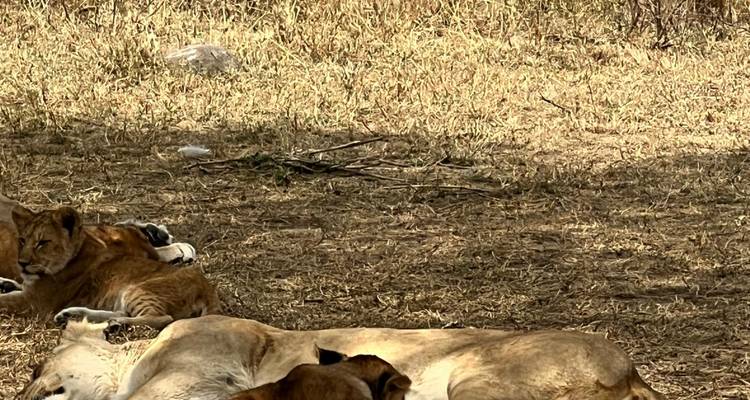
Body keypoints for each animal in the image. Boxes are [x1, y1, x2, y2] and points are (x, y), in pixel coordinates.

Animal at [0, 202, 219, 329]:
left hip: (139, 289)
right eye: (22, 240)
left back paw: (115, 324)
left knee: (161, 318)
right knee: (126, 312)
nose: (22, 263)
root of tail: (208, 289)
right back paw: (73, 315)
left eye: (42, 243)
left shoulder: (34, 302)